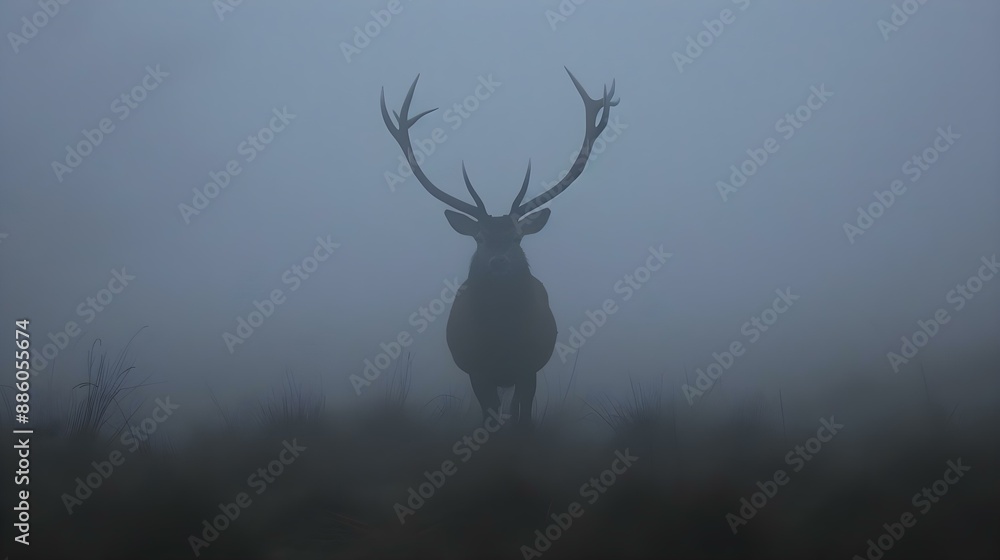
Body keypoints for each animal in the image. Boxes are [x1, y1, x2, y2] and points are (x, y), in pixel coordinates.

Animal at [380, 68, 618, 428]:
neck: (502, 341)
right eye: (479, 238)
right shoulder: (476, 370)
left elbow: (524, 418)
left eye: (518, 237)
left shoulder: (529, 367)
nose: (499, 261)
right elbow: (488, 417)